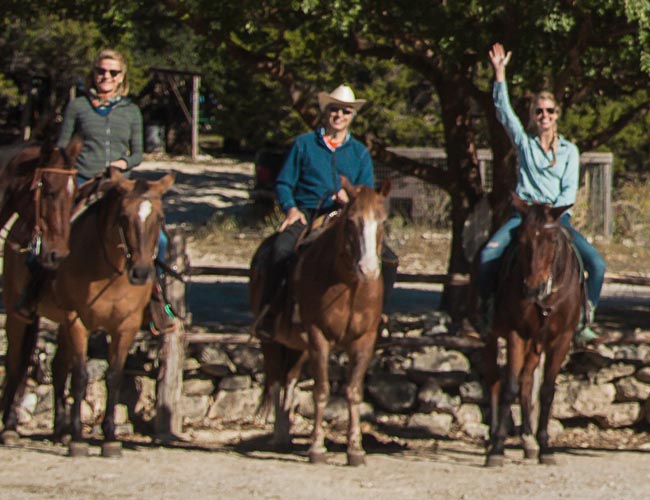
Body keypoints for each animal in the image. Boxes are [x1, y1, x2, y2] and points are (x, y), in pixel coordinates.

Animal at [1, 169, 173, 458]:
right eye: (123, 217)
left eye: (160, 218)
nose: (140, 273)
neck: (110, 271)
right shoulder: (77, 320)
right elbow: (80, 377)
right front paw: (79, 440)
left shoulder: (126, 326)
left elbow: (113, 377)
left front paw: (110, 438)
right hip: (20, 315)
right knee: (17, 364)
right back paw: (10, 428)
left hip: (60, 323)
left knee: (58, 367)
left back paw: (60, 431)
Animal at [480, 193, 584, 466]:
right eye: (521, 240)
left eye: (552, 240)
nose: (533, 288)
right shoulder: (517, 333)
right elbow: (509, 388)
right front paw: (497, 448)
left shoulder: (561, 339)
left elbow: (546, 391)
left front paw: (545, 446)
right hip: (491, 338)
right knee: (495, 382)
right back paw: (494, 439)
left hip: (536, 345)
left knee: (527, 381)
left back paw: (529, 442)